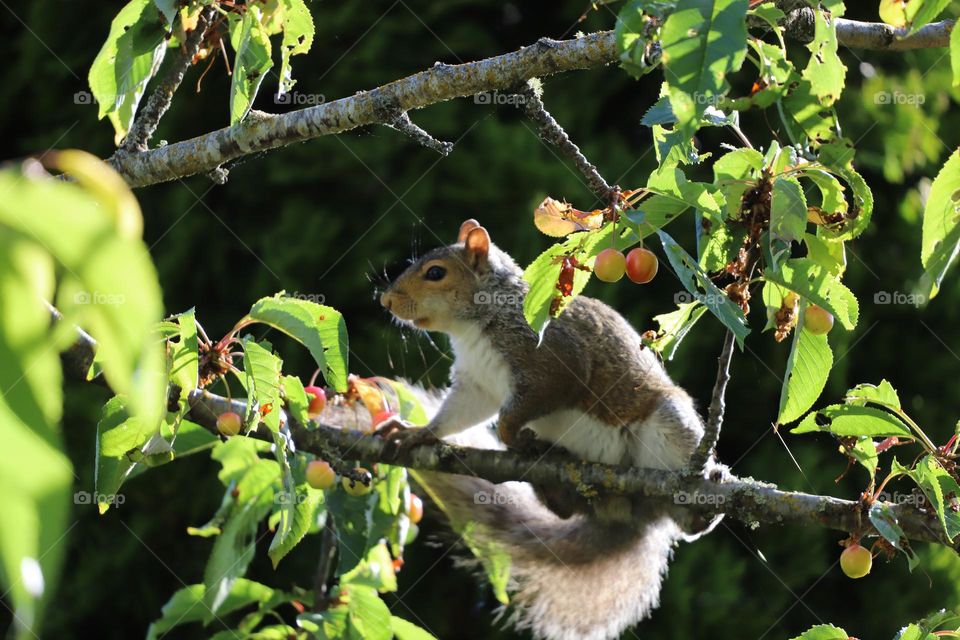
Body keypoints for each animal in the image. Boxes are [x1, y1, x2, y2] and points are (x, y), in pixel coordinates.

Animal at [378, 219, 724, 640]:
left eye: (435, 273)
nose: (386, 302)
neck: (475, 325)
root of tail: (627, 513)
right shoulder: (476, 385)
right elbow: (458, 414)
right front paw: (420, 432)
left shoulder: (552, 362)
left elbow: (523, 408)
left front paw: (514, 435)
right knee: (566, 509)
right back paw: (553, 477)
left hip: (668, 426)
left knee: (683, 513)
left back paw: (702, 502)